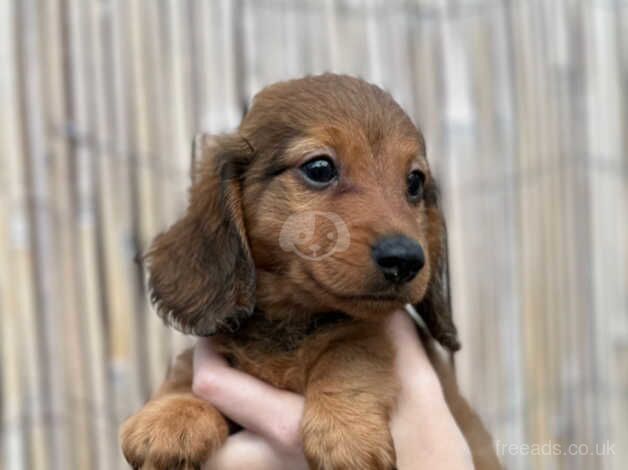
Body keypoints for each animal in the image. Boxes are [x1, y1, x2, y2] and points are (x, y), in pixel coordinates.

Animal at [120, 74, 502, 470]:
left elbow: (352, 350)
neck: (291, 322)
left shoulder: (367, 334)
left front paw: (346, 432)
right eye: (320, 168)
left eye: (414, 182)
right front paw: (171, 413)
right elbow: (185, 372)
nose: (406, 259)